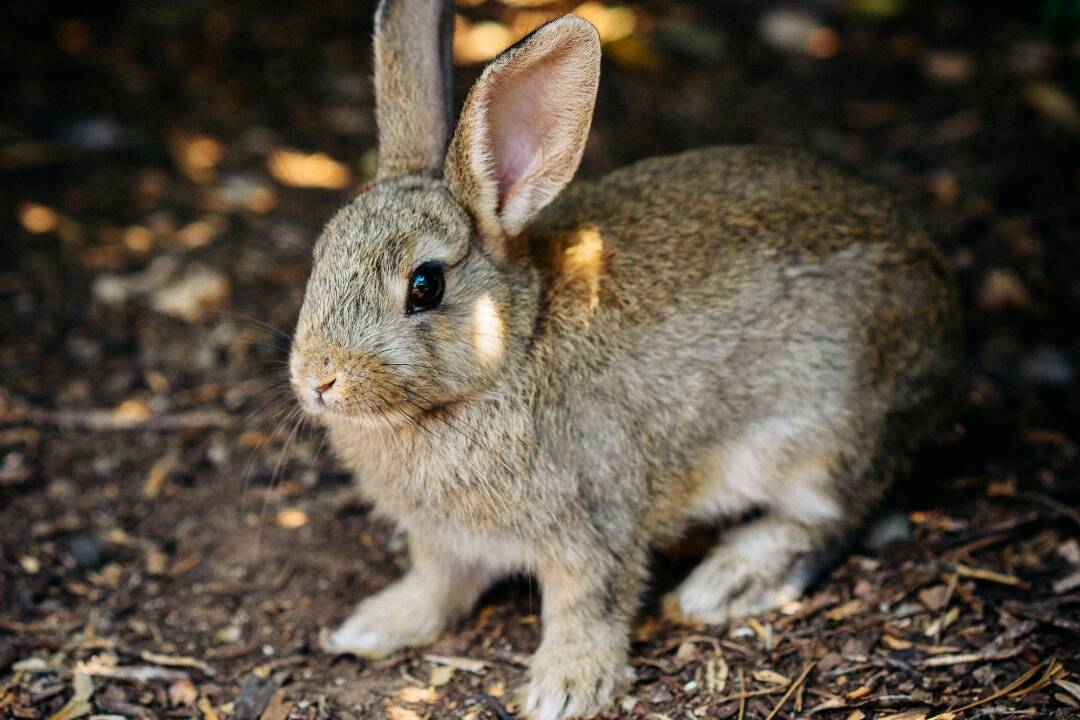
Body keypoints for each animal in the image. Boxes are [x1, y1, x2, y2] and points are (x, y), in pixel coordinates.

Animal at [289, 2, 963, 716]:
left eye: (425, 286)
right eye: (319, 256)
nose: (317, 379)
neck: (511, 349)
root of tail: (950, 313)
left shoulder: (594, 521)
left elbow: (588, 603)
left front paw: (567, 687)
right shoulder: (444, 545)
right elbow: (436, 586)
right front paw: (373, 627)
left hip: (822, 441)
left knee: (837, 515)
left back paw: (729, 581)